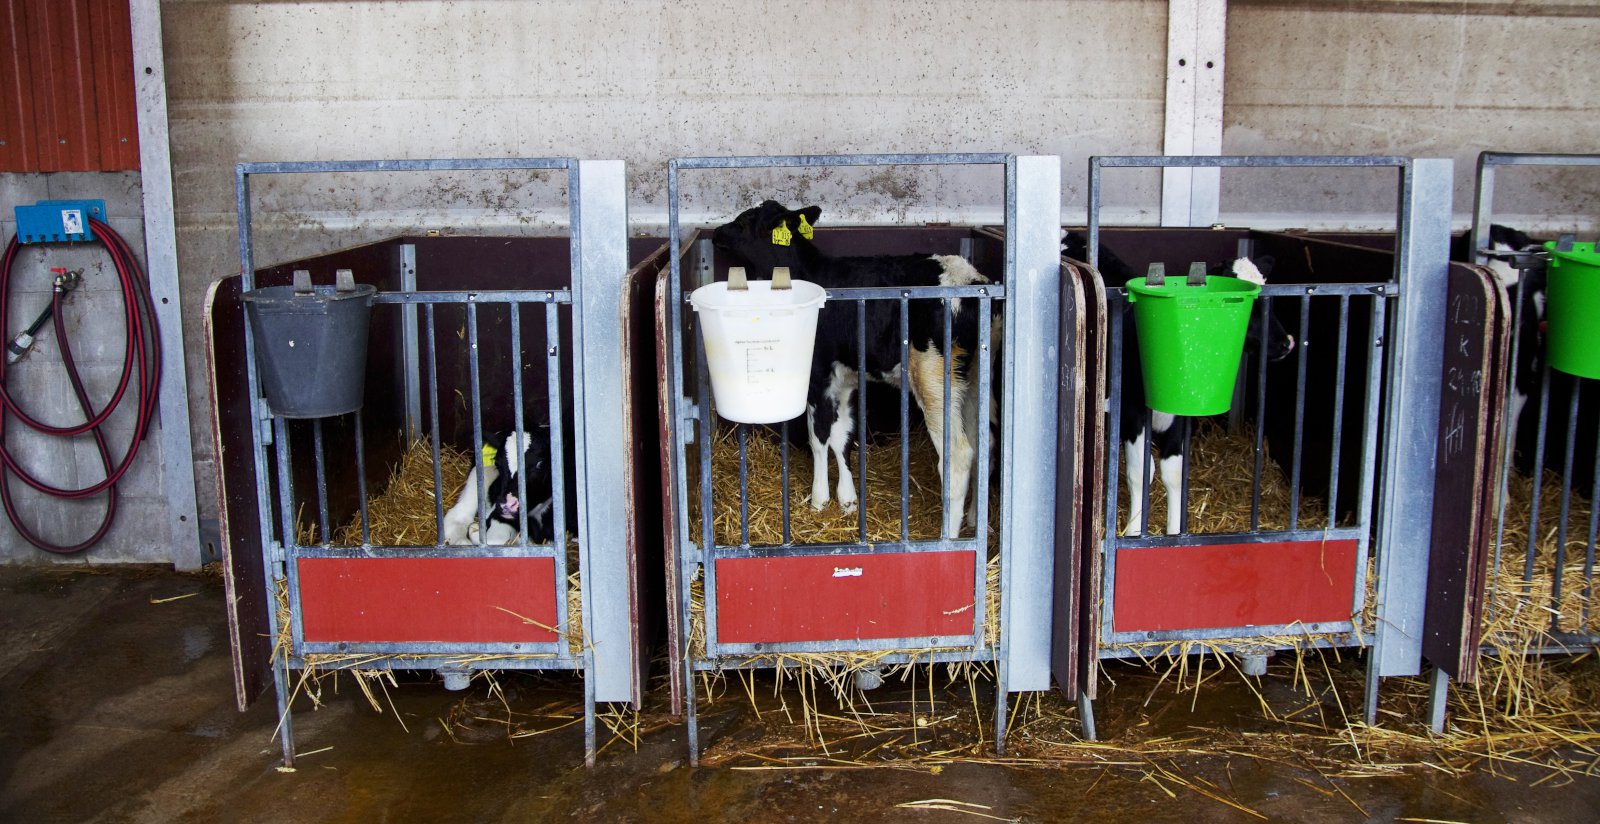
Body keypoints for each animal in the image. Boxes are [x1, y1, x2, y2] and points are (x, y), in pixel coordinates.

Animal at [711, 201, 991, 537]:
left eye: (744, 220)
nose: (715, 233)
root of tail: (970, 278)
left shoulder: (817, 373)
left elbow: (818, 436)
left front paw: (819, 500)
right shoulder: (845, 378)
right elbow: (842, 436)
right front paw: (847, 501)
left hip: (934, 379)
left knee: (958, 455)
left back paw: (947, 536)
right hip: (972, 379)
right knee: (983, 444)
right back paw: (975, 521)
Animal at [1064, 232, 1295, 536]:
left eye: (1265, 296)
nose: (1285, 343)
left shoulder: (1182, 417)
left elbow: (1173, 473)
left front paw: (1174, 532)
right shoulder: (1132, 412)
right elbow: (1140, 473)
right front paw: (1135, 530)